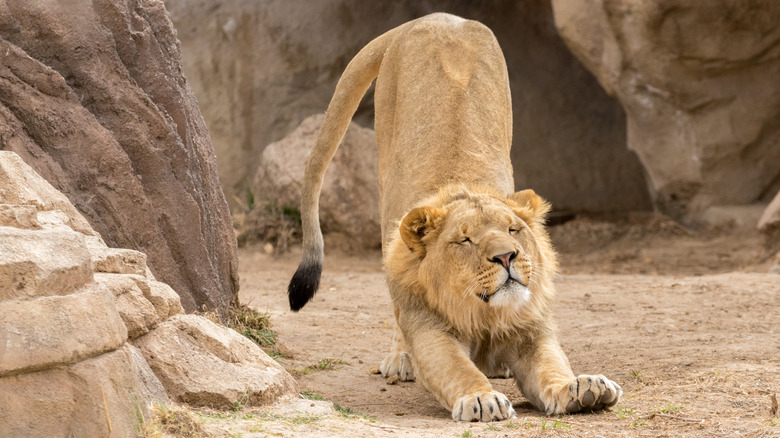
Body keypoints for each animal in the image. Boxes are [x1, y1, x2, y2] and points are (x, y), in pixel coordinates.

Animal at [287, 13, 622, 421]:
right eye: (465, 239)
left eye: (514, 230)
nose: (507, 256)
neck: (485, 315)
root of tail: (430, 18)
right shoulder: (430, 329)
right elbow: (456, 368)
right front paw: (481, 398)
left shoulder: (532, 328)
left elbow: (552, 365)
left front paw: (582, 387)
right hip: (387, 194)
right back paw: (401, 358)